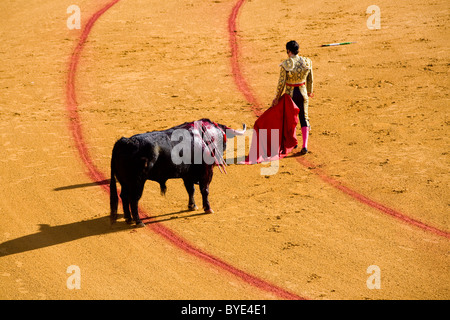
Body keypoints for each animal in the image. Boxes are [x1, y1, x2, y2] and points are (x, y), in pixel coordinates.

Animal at [110, 118, 246, 228]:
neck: (205, 137)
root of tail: (124, 142)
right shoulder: (206, 172)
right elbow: (204, 190)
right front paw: (208, 208)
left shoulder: (187, 175)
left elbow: (191, 190)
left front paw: (192, 206)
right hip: (137, 182)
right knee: (134, 199)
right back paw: (139, 222)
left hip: (124, 182)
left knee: (124, 196)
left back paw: (128, 219)